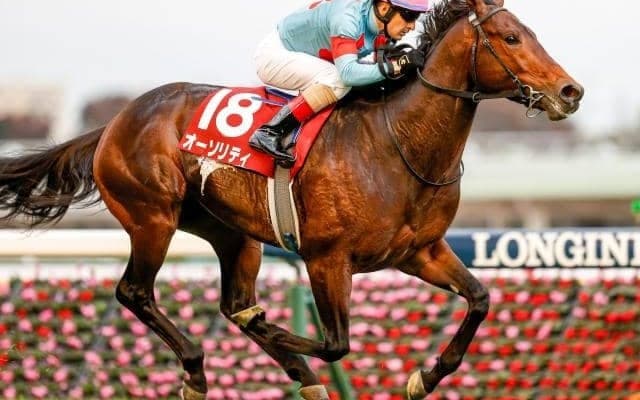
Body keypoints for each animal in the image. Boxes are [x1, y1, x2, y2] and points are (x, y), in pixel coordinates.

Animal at [0, 0, 583, 398]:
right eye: (511, 37)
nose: (570, 91)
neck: (397, 142)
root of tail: (114, 124)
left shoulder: (420, 252)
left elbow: (480, 299)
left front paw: (425, 375)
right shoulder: (327, 258)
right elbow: (335, 343)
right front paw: (280, 333)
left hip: (232, 233)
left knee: (233, 303)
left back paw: (288, 370)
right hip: (152, 218)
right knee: (136, 293)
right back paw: (200, 369)